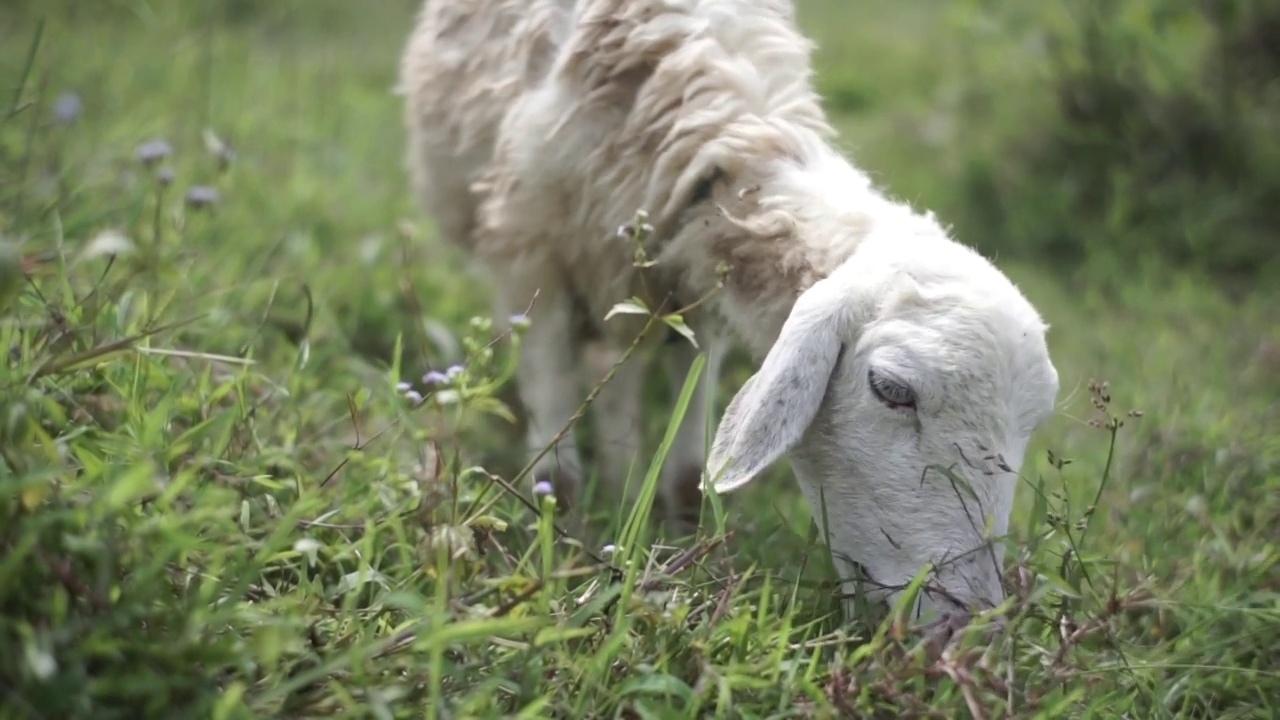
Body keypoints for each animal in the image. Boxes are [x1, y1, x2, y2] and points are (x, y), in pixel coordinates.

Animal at [396, 0, 1059, 617]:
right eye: (891, 390)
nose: (965, 618)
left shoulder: (696, 295)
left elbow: (690, 464)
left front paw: (682, 534)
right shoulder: (532, 254)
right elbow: (559, 475)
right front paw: (564, 549)